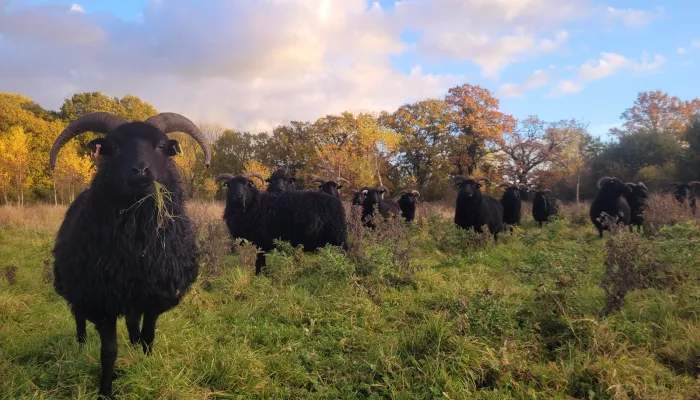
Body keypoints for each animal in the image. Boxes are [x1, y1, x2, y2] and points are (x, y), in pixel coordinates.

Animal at [49, 111, 211, 398]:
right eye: (114, 147)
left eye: (161, 146)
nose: (141, 171)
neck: (138, 244)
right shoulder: (102, 299)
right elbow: (109, 351)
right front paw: (105, 391)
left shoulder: (155, 295)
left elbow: (148, 337)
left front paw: (145, 368)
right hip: (76, 285)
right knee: (78, 318)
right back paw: (80, 347)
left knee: (133, 325)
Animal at [217, 172, 346, 276]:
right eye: (230, 185)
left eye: (246, 184)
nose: (238, 196)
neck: (255, 204)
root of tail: (337, 202)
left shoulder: (261, 242)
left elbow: (260, 261)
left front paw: (260, 276)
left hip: (338, 236)